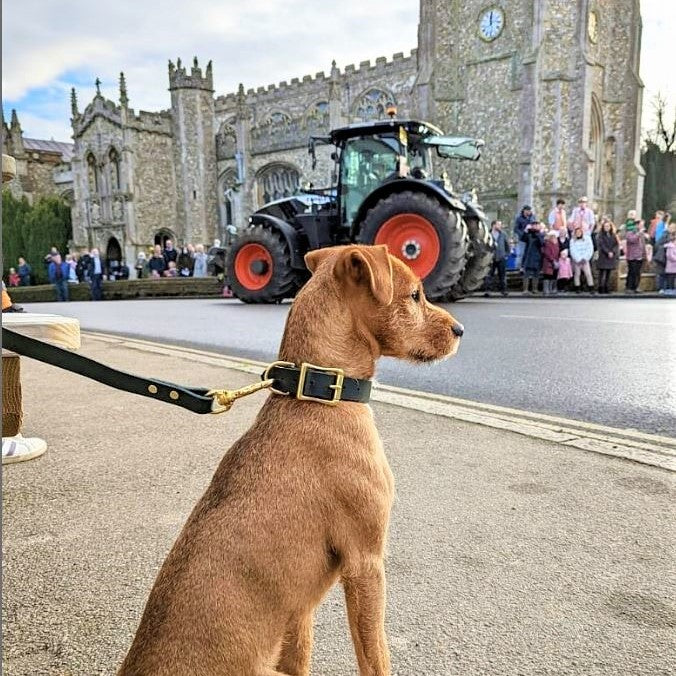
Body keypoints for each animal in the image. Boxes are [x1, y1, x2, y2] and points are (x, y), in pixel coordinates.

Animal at [119, 244, 462, 676]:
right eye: (415, 295)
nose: (460, 330)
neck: (318, 395)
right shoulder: (366, 563)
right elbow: (375, 657)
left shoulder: (299, 610)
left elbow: (300, 653)